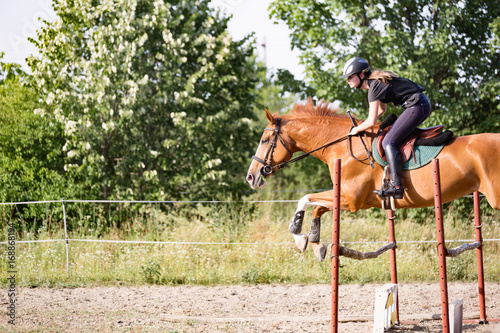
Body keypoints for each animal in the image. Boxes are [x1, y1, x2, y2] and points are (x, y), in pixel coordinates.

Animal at [245, 98, 500, 260]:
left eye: (265, 140)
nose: (251, 176)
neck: (341, 144)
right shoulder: (355, 199)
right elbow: (318, 208)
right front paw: (315, 243)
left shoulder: (351, 200)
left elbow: (306, 199)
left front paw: (298, 234)